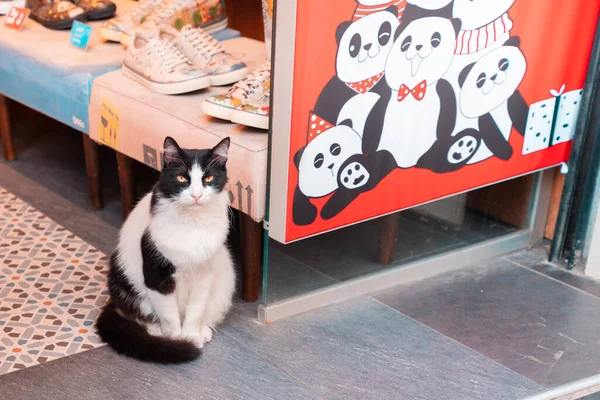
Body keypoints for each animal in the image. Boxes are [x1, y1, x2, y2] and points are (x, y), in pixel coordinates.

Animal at [95, 136, 234, 364]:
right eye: (182, 178)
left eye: (209, 178)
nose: (196, 195)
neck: (193, 223)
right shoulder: (157, 274)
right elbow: (169, 315)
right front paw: (177, 342)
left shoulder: (204, 273)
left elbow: (195, 309)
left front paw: (191, 334)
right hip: (123, 280)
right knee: (142, 316)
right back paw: (158, 334)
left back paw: (203, 330)